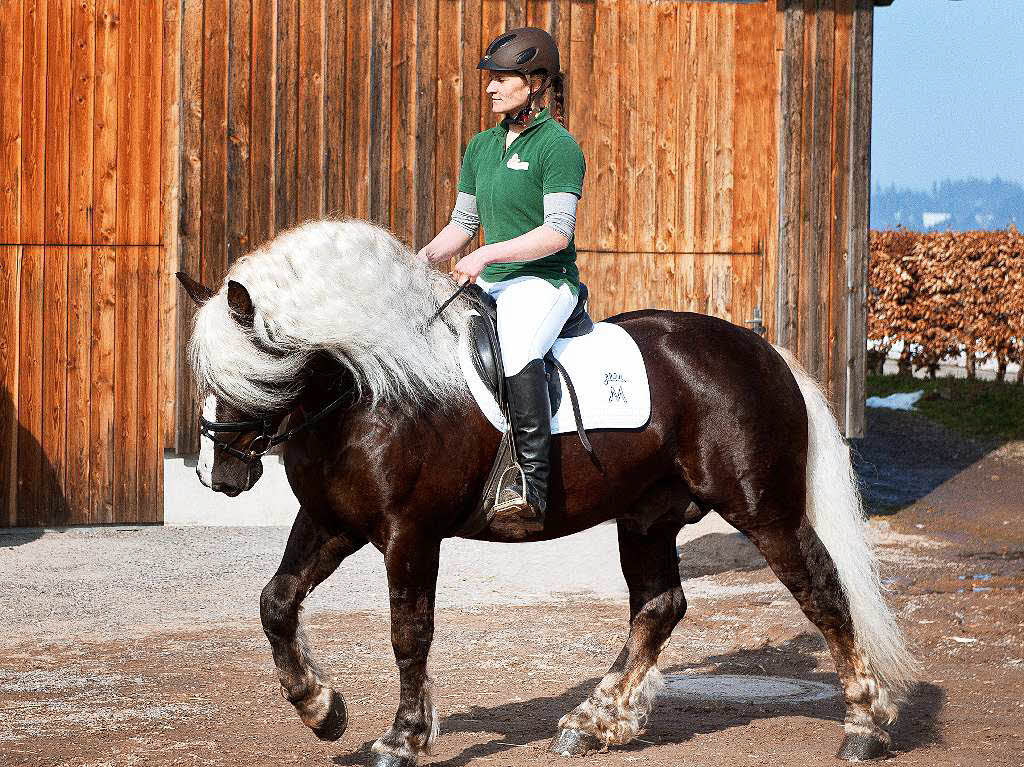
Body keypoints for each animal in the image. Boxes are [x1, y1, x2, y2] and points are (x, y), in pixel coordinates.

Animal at [176, 215, 913, 765]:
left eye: (255, 373)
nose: (219, 476)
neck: (371, 388)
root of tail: (763, 353)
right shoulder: (333, 519)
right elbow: (276, 601)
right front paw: (321, 709)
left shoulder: (410, 532)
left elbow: (409, 631)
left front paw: (401, 738)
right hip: (647, 515)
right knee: (659, 606)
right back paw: (592, 721)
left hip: (763, 510)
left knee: (822, 591)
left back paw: (866, 726)